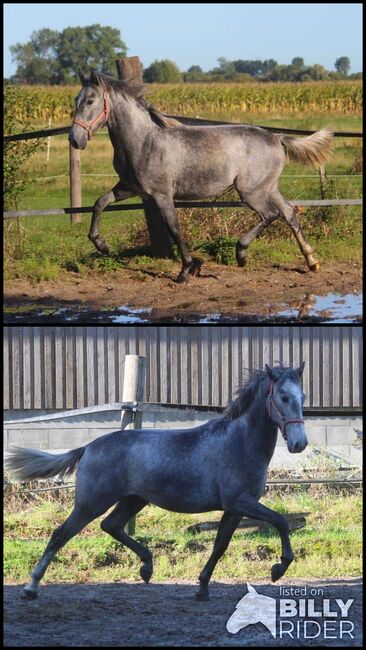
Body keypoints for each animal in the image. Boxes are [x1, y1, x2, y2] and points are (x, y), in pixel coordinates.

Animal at [7, 362, 308, 600]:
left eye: (302, 396)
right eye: (283, 397)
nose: (299, 444)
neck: (239, 443)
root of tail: (88, 447)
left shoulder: (234, 508)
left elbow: (220, 545)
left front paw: (202, 588)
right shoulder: (239, 501)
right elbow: (280, 521)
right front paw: (278, 569)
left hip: (133, 500)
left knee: (111, 525)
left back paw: (147, 567)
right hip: (90, 503)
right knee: (61, 534)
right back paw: (30, 588)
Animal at [69, 71, 334, 280]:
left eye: (90, 100)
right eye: (76, 99)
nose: (75, 140)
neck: (143, 141)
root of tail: (277, 137)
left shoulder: (161, 195)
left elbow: (174, 229)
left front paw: (187, 269)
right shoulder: (130, 187)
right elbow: (100, 203)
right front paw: (102, 246)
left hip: (251, 192)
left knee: (271, 214)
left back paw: (241, 254)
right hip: (267, 187)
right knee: (288, 213)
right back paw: (312, 261)